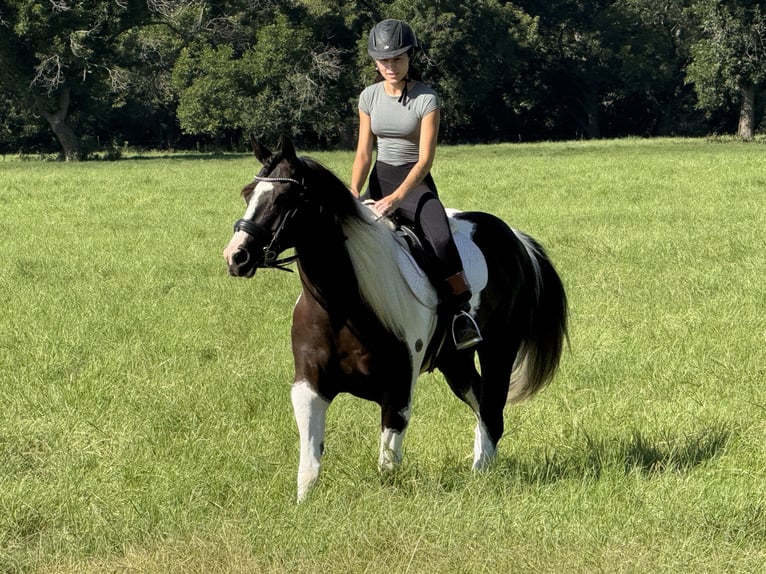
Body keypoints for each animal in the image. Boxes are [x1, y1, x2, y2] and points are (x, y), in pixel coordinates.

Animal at [223, 136, 568, 502]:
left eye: (286, 197)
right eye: (248, 193)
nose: (236, 256)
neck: (343, 306)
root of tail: (516, 239)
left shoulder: (398, 389)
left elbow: (387, 462)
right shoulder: (309, 385)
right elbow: (310, 462)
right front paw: (303, 504)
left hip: (499, 349)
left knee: (492, 408)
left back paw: (481, 474)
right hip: (454, 361)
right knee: (482, 403)